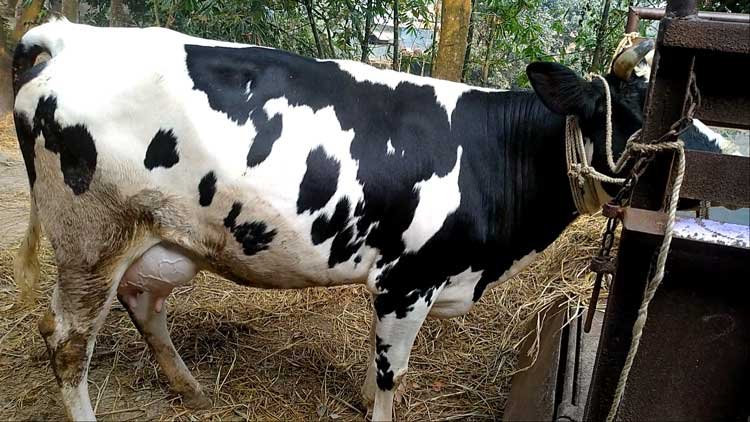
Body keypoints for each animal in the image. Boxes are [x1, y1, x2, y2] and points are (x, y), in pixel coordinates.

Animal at [11, 20, 653, 421]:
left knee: (143, 302)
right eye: (630, 120)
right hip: (89, 238)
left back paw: (190, 390)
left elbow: (382, 362)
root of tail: (70, 36)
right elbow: (394, 373)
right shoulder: (407, 280)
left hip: (162, 236)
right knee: (67, 341)